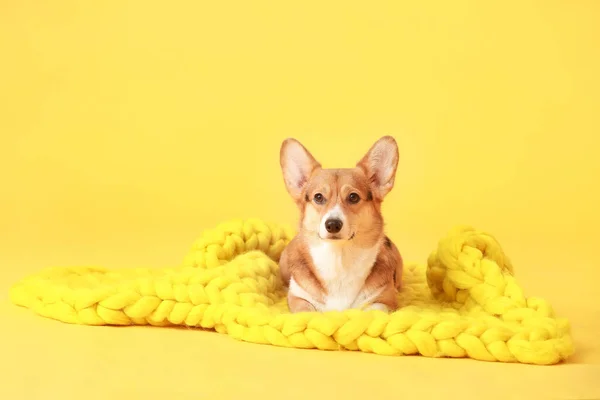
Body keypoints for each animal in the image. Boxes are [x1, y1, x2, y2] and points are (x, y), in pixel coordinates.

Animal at [280, 136, 404, 314]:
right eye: (318, 197)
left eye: (353, 197)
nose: (332, 224)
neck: (338, 258)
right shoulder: (298, 298)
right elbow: (306, 311)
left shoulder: (385, 300)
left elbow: (373, 311)